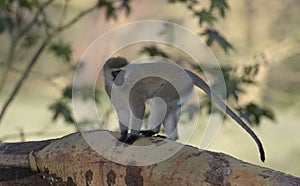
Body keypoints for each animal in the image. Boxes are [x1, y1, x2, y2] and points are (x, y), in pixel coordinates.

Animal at [102, 56, 264, 161]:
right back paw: (171, 137)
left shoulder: (135, 90)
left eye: (121, 72)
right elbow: (122, 111)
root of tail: (184, 71)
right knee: (168, 108)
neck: (121, 85)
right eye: (115, 72)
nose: (119, 79)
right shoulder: (110, 90)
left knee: (159, 101)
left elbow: (138, 109)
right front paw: (123, 135)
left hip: (177, 84)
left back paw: (153, 131)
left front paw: (132, 136)